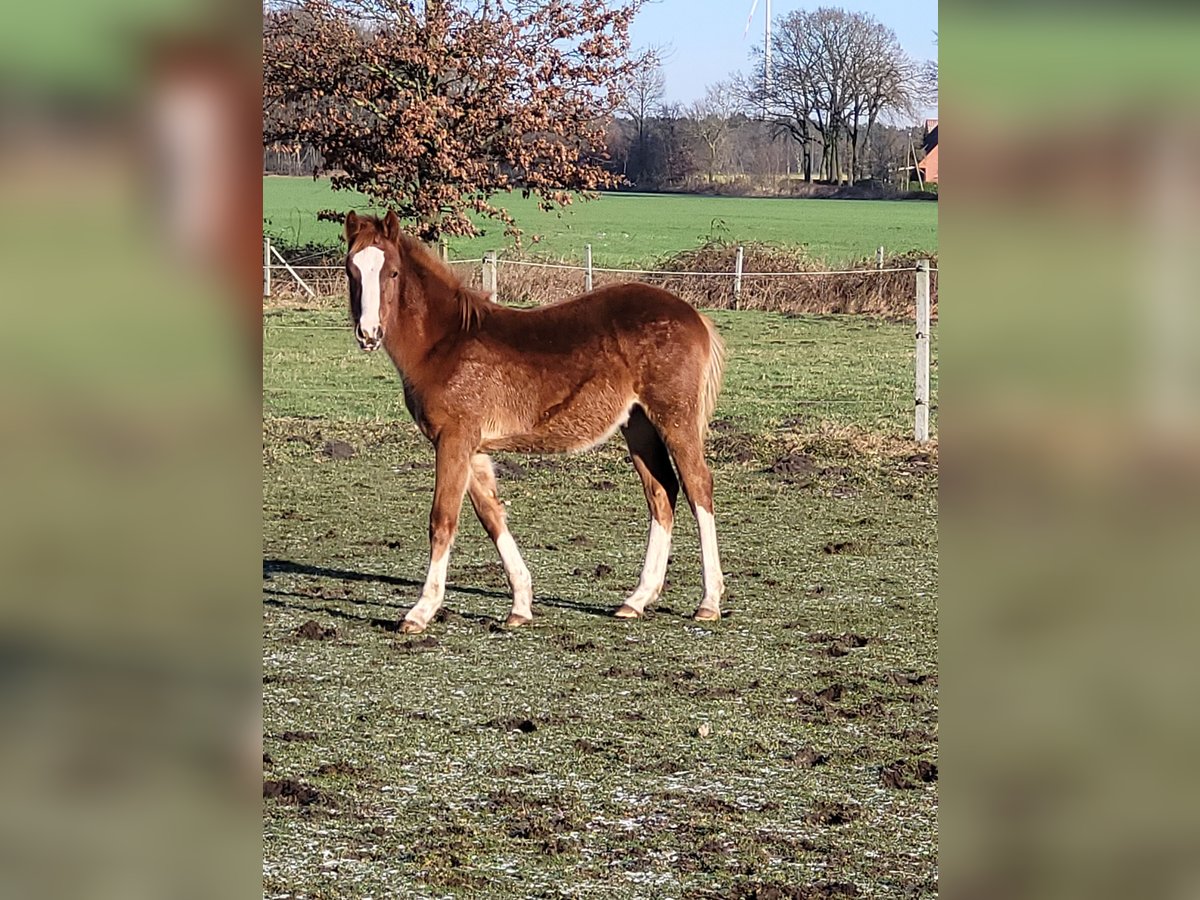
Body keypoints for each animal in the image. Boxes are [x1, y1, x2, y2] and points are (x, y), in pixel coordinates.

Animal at [343, 211, 724, 633]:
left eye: (392, 272)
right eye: (351, 269)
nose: (369, 333)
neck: (445, 343)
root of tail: (694, 316)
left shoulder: (453, 438)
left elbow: (442, 520)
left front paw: (420, 611)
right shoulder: (473, 448)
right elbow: (492, 515)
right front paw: (521, 605)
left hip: (675, 417)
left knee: (697, 486)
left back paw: (708, 602)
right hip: (638, 424)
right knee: (661, 491)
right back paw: (637, 599)